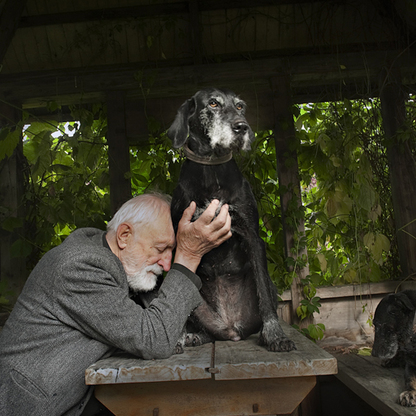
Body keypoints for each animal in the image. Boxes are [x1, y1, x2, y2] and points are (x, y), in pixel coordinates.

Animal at [167, 87, 296, 352]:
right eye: (213, 104)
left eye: (240, 106)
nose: (242, 127)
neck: (212, 171)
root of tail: (231, 327)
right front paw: (178, 338)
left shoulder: (253, 236)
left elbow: (265, 297)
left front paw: (275, 336)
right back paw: (194, 337)